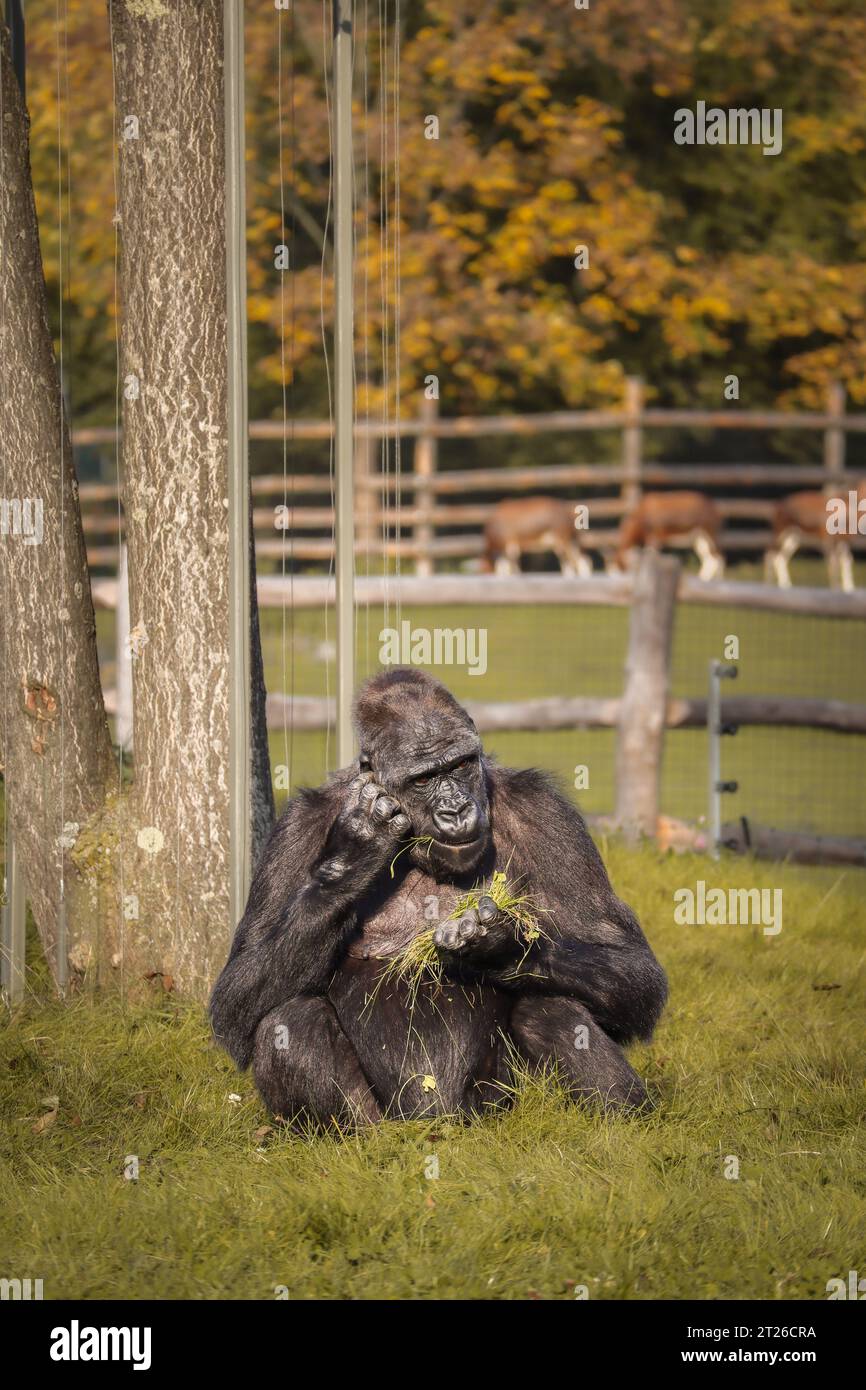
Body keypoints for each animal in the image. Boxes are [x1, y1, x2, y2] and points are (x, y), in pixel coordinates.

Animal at [209, 669, 667, 1124]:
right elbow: (237, 993)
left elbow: (630, 965)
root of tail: (443, 1126)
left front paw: (499, 947)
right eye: (425, 779)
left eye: (461, 765)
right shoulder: (297, 826)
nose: (456, 809)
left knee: (550, 1006)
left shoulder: (547, 813)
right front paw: (358, 848)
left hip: (493, 1111)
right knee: (288, 1019)